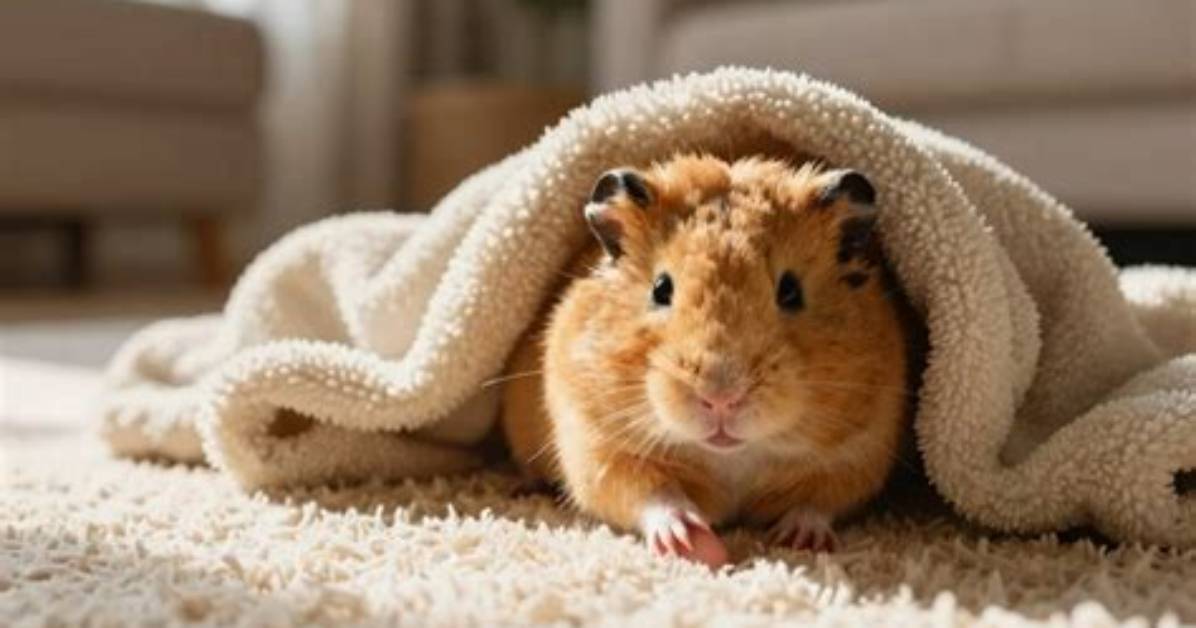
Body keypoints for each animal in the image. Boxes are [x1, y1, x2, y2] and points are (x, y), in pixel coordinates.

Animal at [501, 154, 917, 567]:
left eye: (791, 291)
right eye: (661, 289)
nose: (721, 399)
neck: (732, 457)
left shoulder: (860, 450)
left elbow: (818, 502)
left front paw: (799, 541)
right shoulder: (598, 446)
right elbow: (652, 494)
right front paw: (694, 544)